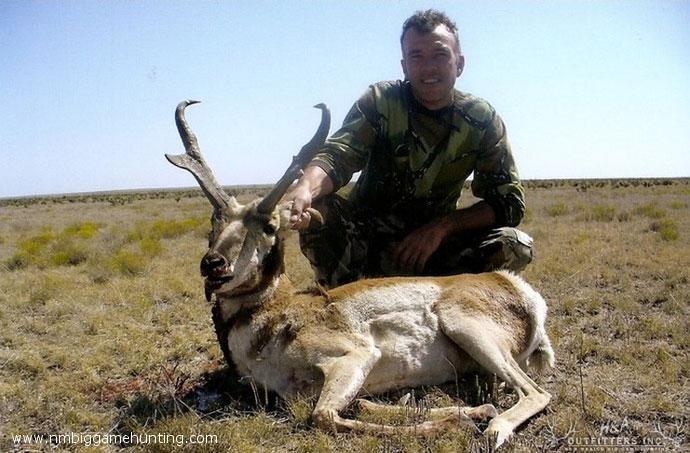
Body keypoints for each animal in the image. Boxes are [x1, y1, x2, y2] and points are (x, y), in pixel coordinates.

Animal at [165, 98, 552, 444]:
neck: (276, 315)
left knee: (536, 393)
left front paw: (455, 423)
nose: (213, 264)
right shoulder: (315, 390)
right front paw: (468, 412)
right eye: (215, 221)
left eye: (270, 226)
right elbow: (363, 406)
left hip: (465, 326)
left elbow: (324, 417)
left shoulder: (356, 355)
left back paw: (495, 429)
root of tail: (512, 285)